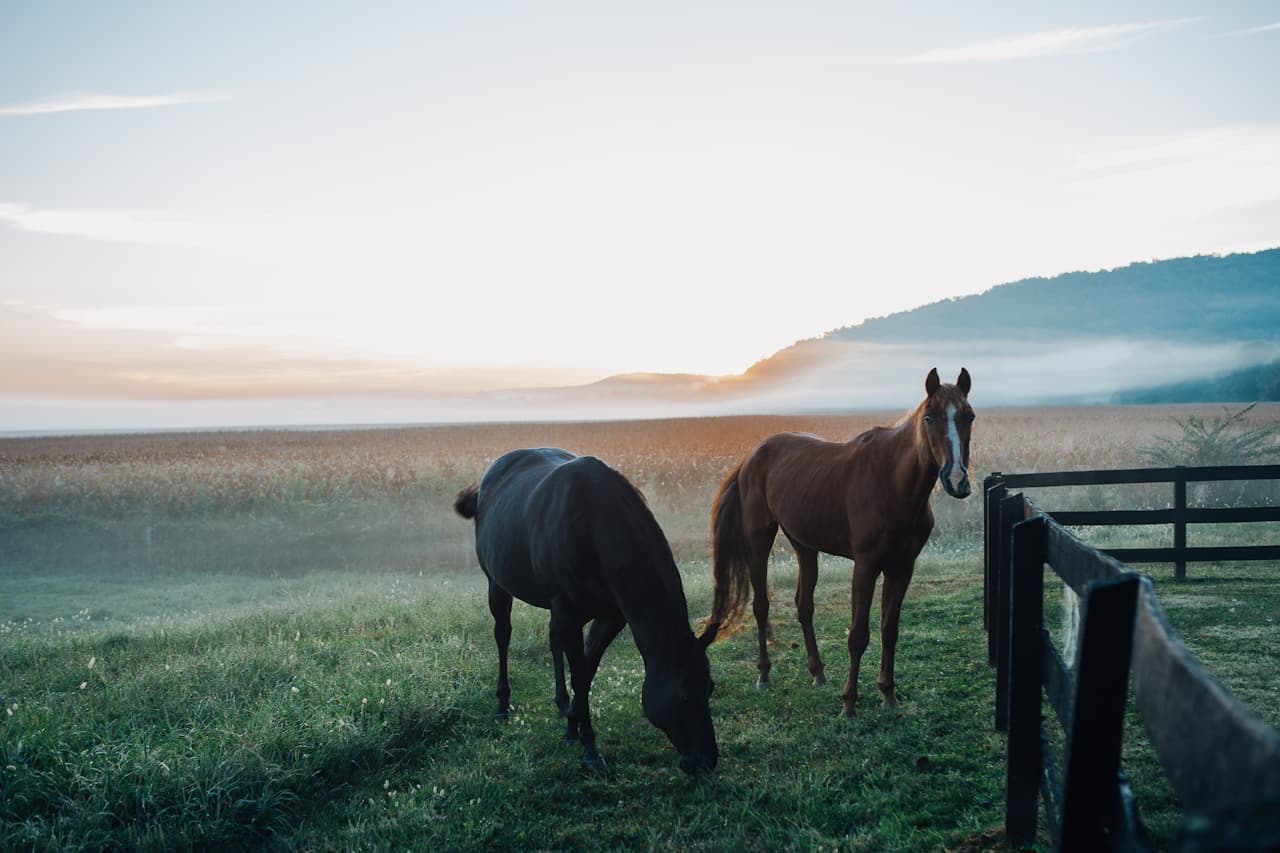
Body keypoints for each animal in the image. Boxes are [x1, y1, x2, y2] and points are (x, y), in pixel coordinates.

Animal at [454, 447, 718, 774]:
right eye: (683, 695)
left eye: (710, 688)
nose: (706, 760)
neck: (595, 528)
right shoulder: (569, 613)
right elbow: (579, 674)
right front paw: (589, 748)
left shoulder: (609, 616)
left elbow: (587, 671)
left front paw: (573, 726)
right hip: (497, 585)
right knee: (503, 636)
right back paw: (503, 704)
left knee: (553, 640)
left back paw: (560, 703)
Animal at [700, 367, 974, 718]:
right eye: (929, 417)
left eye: (969, 416)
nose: (957, 480)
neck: (893, 483)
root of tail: (751, 456)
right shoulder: (866, 566)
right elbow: (858, 635)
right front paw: (849, 704)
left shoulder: (902, 567)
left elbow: (889, 630)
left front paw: (888, 695)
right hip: (759, 539)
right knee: (761, 606)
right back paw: (764, 675)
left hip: (804, 545)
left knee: (804, 605)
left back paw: (818, 673)